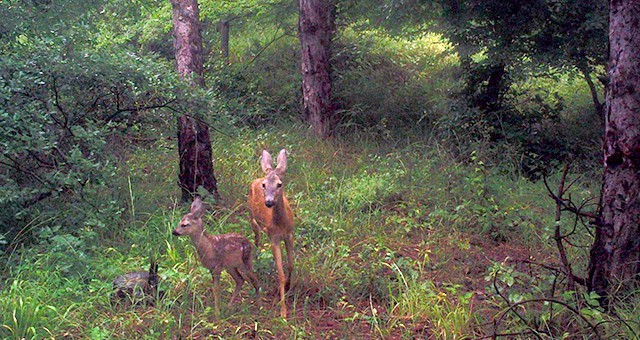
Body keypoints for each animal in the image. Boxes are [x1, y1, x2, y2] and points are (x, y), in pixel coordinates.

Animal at [248, 149, 296, 318]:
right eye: (264, 185)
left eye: (279, 184)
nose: (268, 202)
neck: (281, 225)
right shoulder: (274, 238)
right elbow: (280, 274)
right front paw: (283, 311)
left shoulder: (289, 235)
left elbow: (291, 264)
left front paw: (289, 286)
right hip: (252, 217)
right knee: (256, 239)